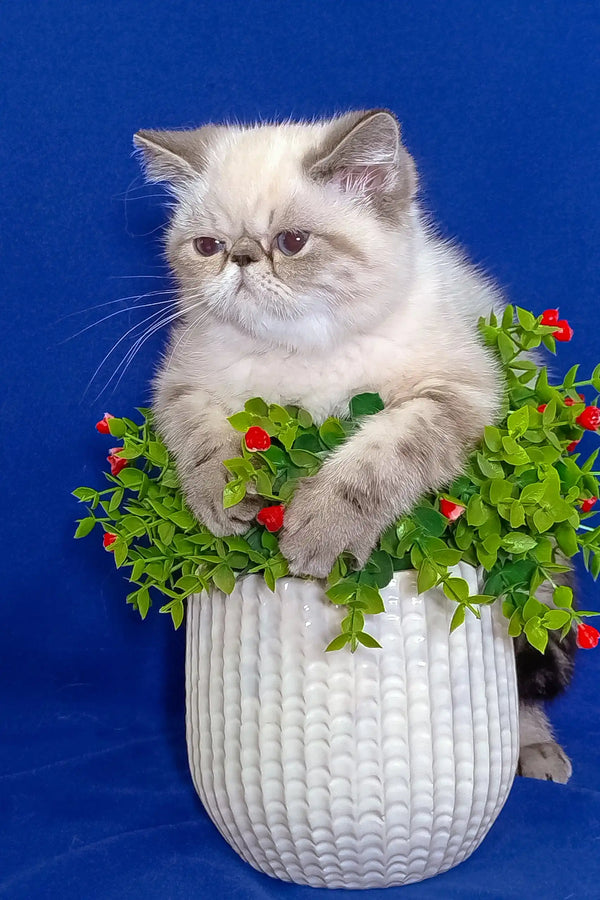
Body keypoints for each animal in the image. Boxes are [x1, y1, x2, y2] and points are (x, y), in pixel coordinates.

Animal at [134, 107, 576, 780]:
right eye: (207, 247)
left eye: (292, 242)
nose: (241, 259)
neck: (304, 352)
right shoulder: (182, 381)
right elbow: (201, 438)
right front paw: (223, 499)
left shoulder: (460, 394)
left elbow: (377, 461)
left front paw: (318, 530)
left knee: (531, 655)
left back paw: (537, 748)